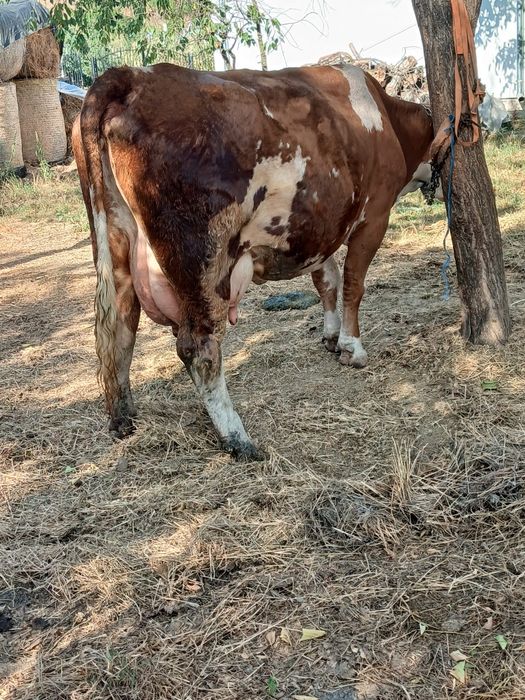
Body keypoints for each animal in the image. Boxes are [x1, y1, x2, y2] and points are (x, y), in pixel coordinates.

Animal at [72, 62, 439, 460]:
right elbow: (354, 284)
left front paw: (330, 336)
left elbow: (327, 281)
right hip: (204, 262)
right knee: (198, 349)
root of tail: (133, 76)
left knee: (120, 327)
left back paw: (123, 418)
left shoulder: (319, 230)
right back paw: (238, 438)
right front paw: (351, 348)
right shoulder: (374, 217)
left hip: (115, 243)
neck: (387, 119)